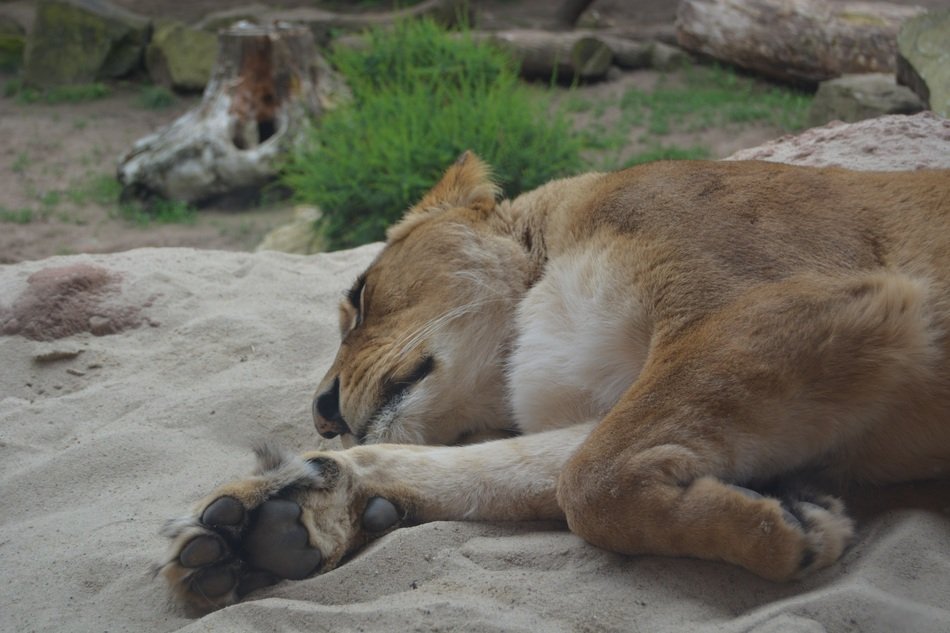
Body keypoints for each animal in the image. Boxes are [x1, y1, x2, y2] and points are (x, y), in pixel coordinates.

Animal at [161, 153, 950, 611]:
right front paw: (270, 521)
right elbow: (503, 469)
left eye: (358, 296)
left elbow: (589, 484)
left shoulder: (795, 300)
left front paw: (785, 526)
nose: (322, 412)